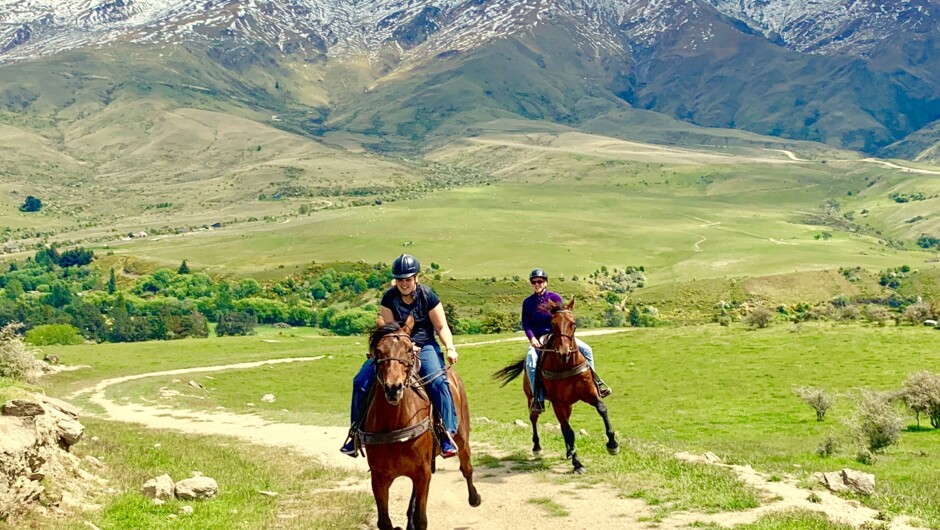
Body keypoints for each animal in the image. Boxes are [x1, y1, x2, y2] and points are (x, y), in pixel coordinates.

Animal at [359, 319, 481, 530]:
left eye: (409, 349)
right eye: (379, 351)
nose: (393, 388)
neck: (394, 424)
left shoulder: (423, 473)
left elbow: (421, 519)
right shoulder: (379, 477)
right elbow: (385, 521)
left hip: (462, 438)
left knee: (466, 468)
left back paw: (474, 498)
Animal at [494, 299, 619, 474]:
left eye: (573, 323)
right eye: (553, 324)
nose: (563, 353)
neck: (566, 365)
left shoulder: (589, 393)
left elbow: (601, 409)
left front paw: (612, 445)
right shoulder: (557, 403)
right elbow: (568, 430)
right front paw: (577, 464)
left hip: (568, 405)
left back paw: (568, 451)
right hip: (533, 399)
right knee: (534, 419)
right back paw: (537, 448)